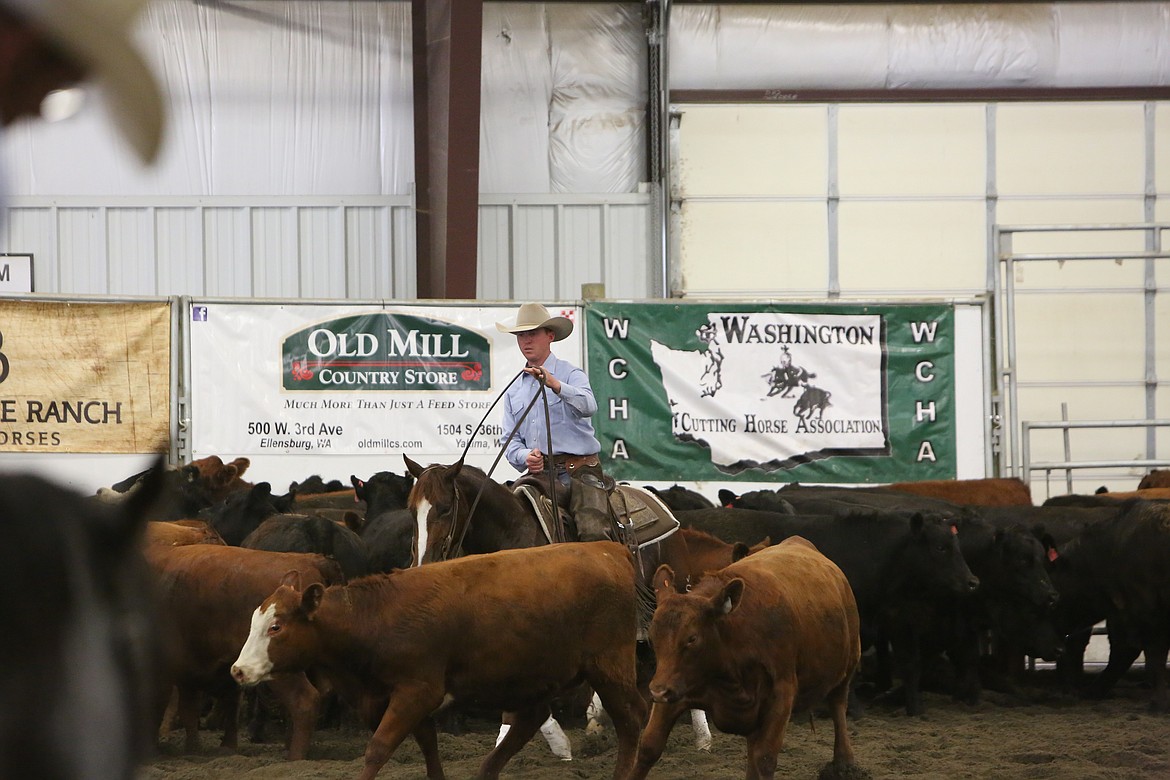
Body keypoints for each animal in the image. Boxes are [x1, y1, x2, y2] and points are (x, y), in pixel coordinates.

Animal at [228, 542, 650, 780]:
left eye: (277, 627)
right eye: (254, 622)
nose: (238, 670)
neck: (375, 617)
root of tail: (608, 550)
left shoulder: (418, 691)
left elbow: (378, 748)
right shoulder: (398, 698)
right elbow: (428, 746)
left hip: (609, 665)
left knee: (631, 720)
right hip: (530, 677)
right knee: (529, 720)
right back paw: (486, 772)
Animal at [402, 453, 711, 753]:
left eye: (445, 508)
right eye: (411, 510)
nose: (423, 564)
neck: (513, 535)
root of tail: (659, 504)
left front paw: (557, 743)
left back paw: (702, 737)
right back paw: (598, 722)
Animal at [627, 537, 865, 780]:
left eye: (692, 638)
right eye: (653, 636)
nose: (657, 692)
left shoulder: (781, 695)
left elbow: (765, 758)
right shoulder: (676, 685)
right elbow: (649, 747)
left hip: (847, 665)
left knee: (838, 704)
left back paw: (844, 763)